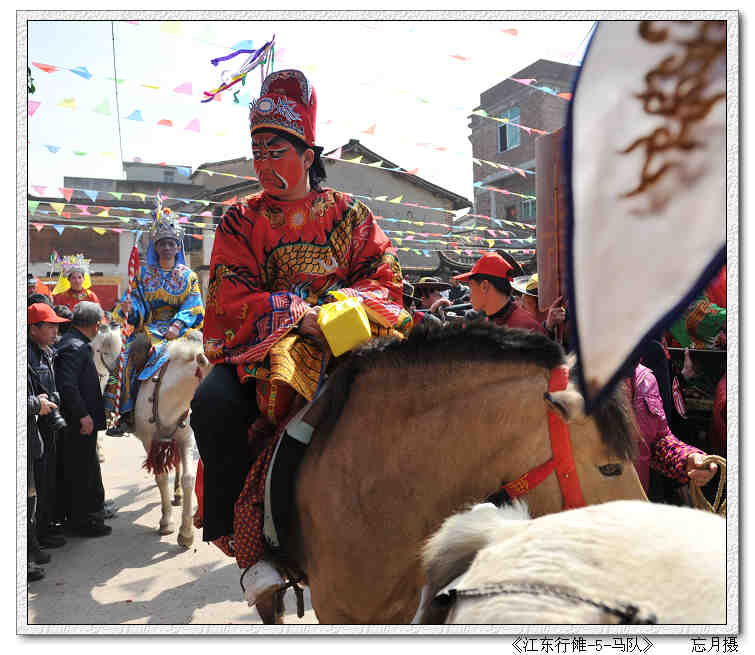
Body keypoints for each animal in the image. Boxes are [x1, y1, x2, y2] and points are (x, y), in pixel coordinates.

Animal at [91, 324, 211, 548]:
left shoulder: (188, 438)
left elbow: (189, 478)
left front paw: (186, 533)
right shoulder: (149, 440)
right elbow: (161, 476)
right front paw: (167, 523)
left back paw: (178, 494)